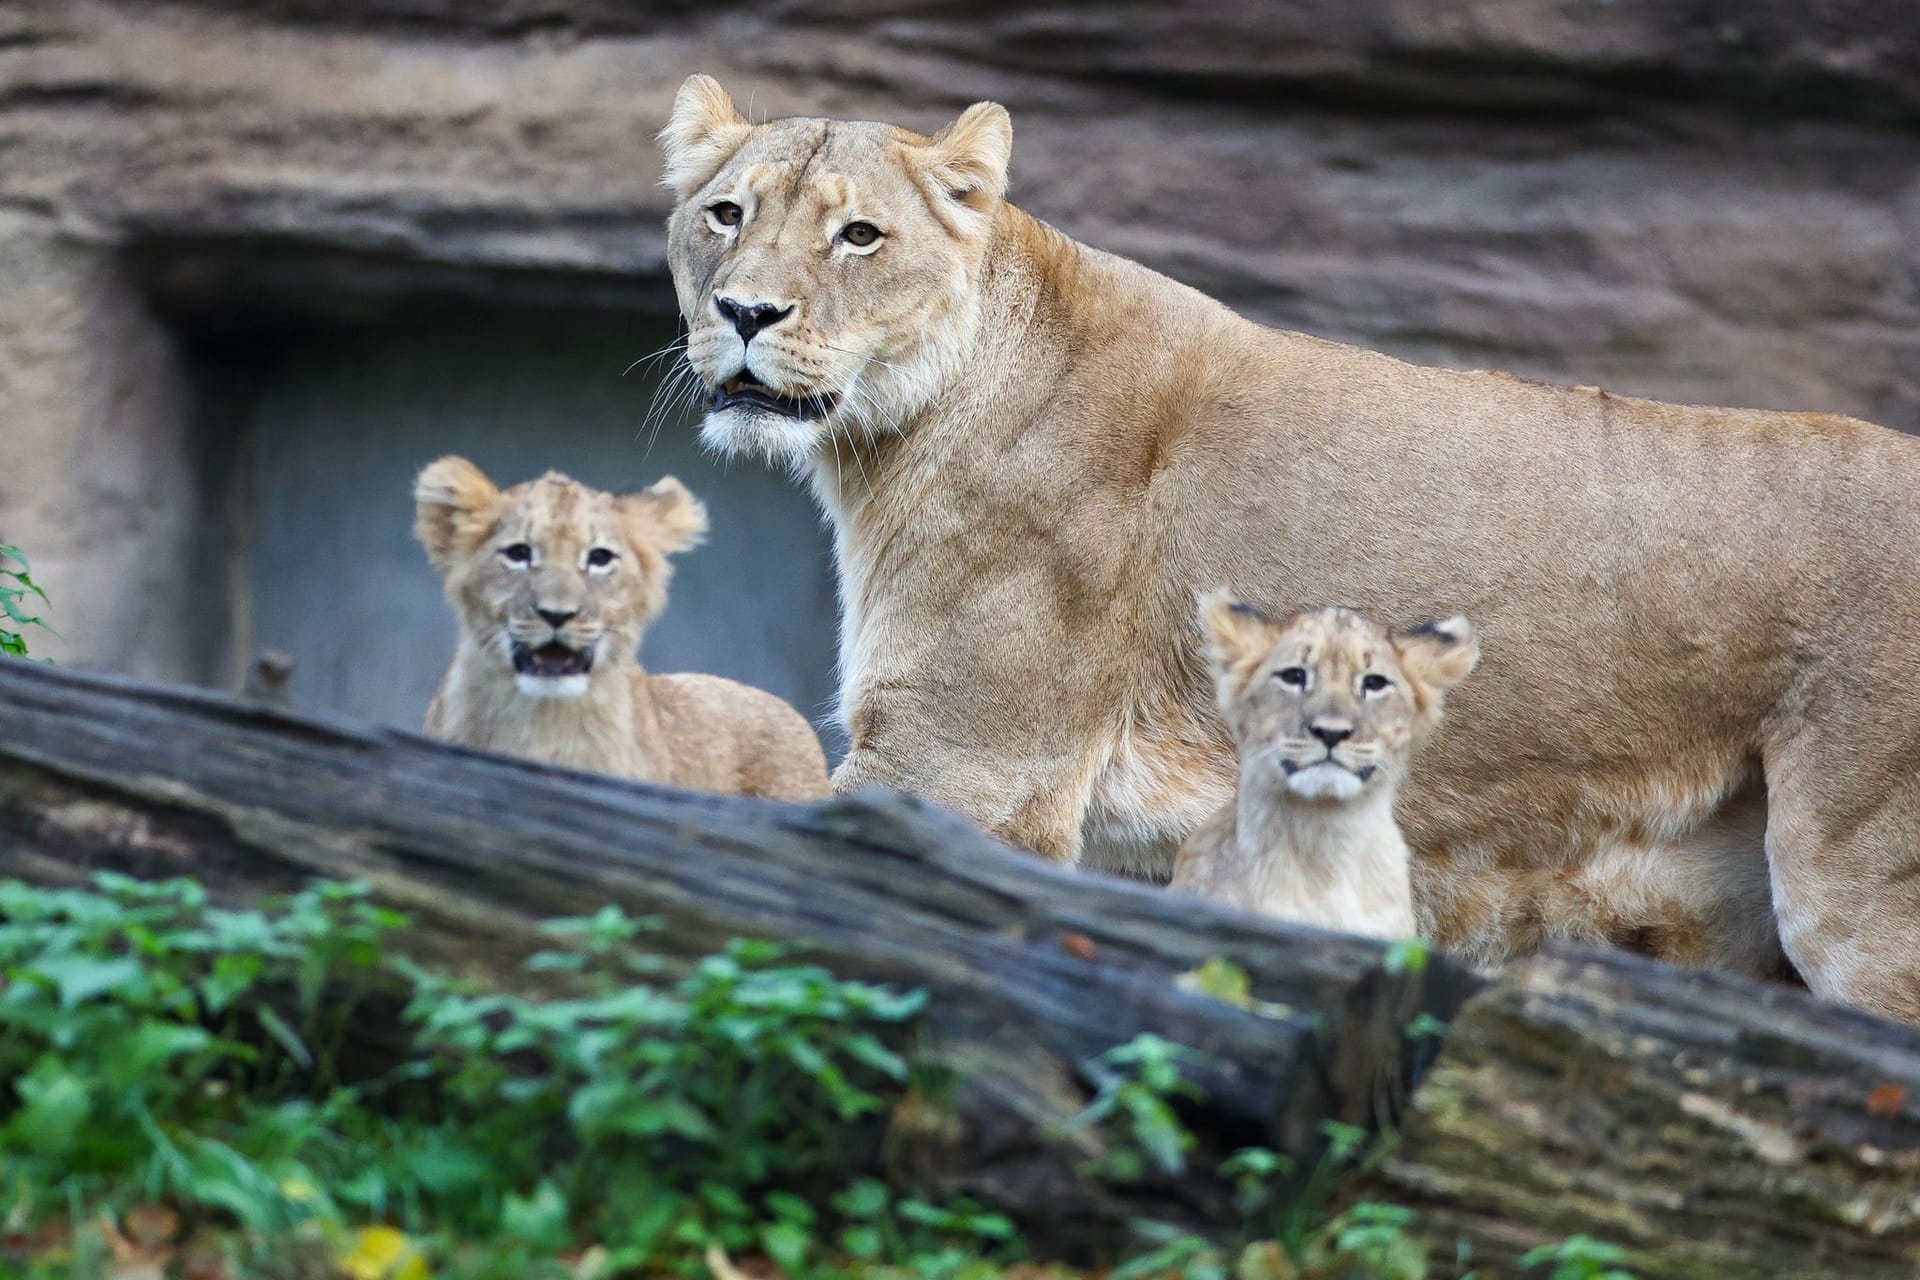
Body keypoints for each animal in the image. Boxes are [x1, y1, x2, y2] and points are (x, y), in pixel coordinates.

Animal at [656, 75, 1920, 1028]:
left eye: (859, 235)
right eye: (725, 215)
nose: (746, 314)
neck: (888, 441)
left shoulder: (963, 764)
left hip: (1861, 889)